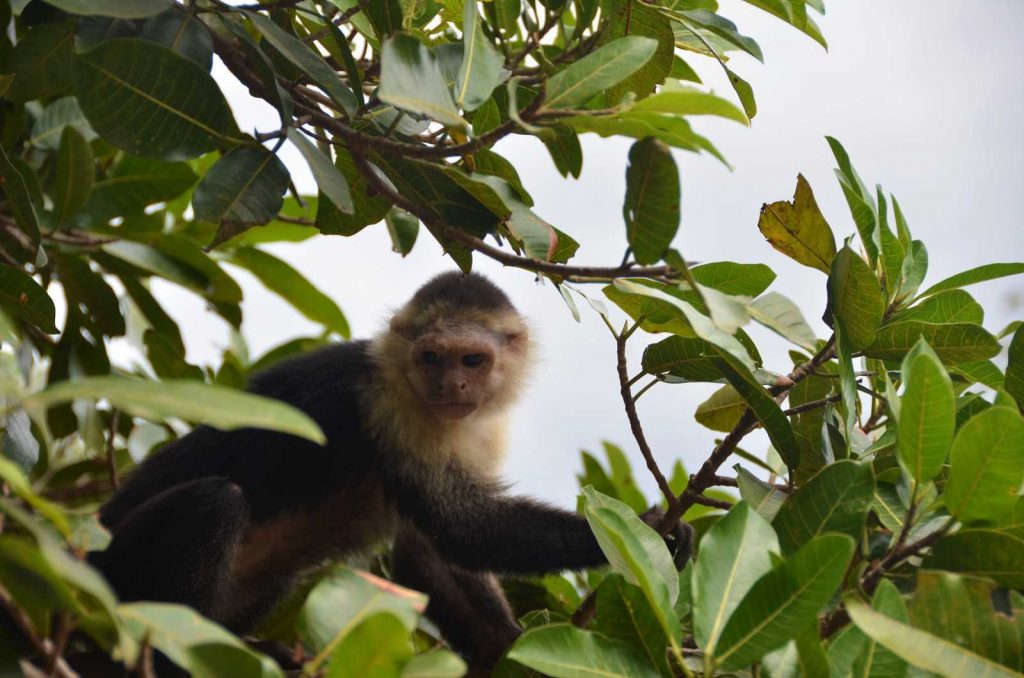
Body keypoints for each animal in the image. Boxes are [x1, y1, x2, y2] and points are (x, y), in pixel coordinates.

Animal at [92, 272, 688, 675]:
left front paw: (507, 649)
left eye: (472, 360)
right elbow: (462, 528)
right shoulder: (389, 405)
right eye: (432, 359)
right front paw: (644, 528)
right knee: (216, 503)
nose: (451, 386)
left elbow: (428, 551)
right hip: (113, 565)